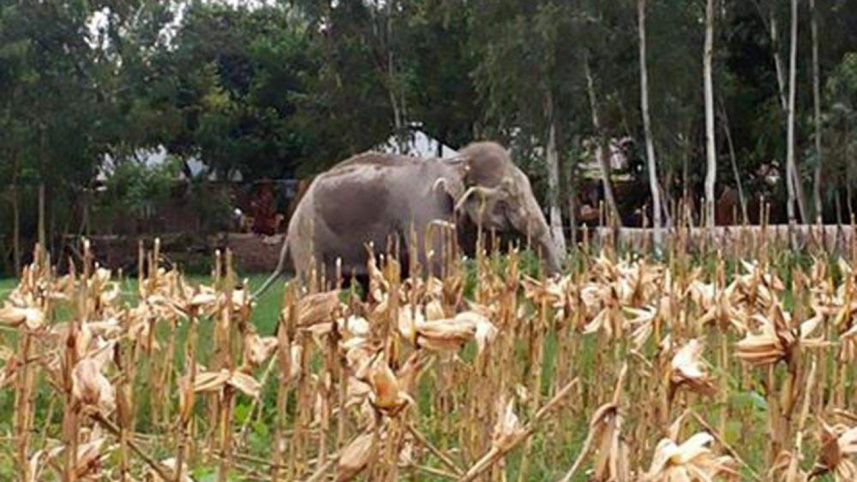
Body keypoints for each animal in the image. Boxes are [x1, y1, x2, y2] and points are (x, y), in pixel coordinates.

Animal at [254, 141, 562, 296]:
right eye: (509, 198)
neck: (456, 162)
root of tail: (294, 217)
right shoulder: (425, 208)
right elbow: (435, 269)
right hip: (309, 240)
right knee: (316, 290)